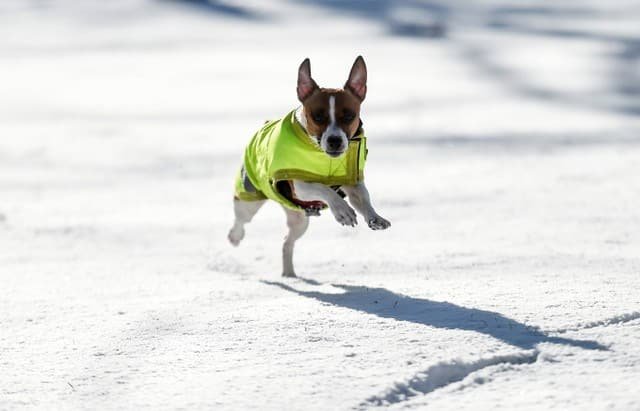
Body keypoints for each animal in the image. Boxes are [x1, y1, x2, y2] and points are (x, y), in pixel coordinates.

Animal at [230, 56, 390, 278]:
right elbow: (322, 188)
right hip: (249, 197)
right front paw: (342, 211)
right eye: (318, 116)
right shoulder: (298, 184)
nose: (334, 141)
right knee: (242, 220)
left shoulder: (351, 182)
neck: (325, 158)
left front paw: (374, 217)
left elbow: (363, 197)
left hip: (299, 221)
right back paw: (235, 237)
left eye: (349, 116)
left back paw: (289, 273)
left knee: (287, 243)